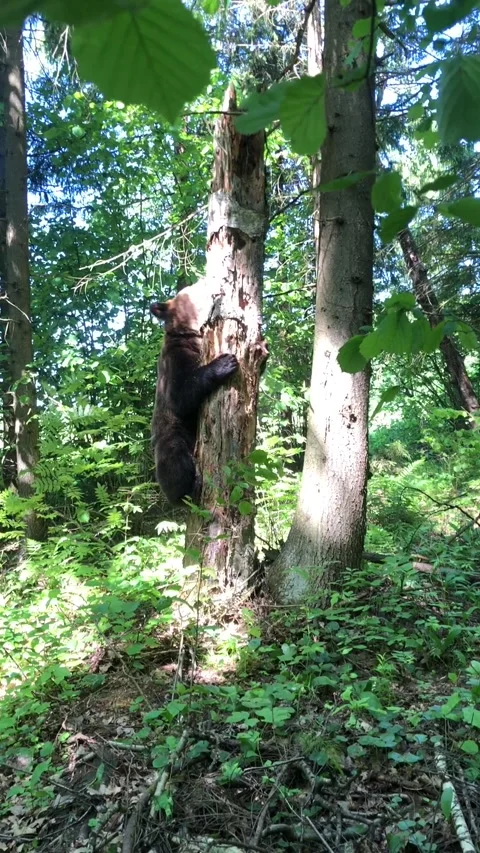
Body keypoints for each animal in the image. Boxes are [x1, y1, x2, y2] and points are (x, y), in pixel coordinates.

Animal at [151, 278, 238, 505]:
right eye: (193, 288)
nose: (208, 280)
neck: (191, 334)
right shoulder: (174, 360)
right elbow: (180, 395)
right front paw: (225, 362)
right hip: (172, 433)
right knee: (174, 460)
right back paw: (188, 489)